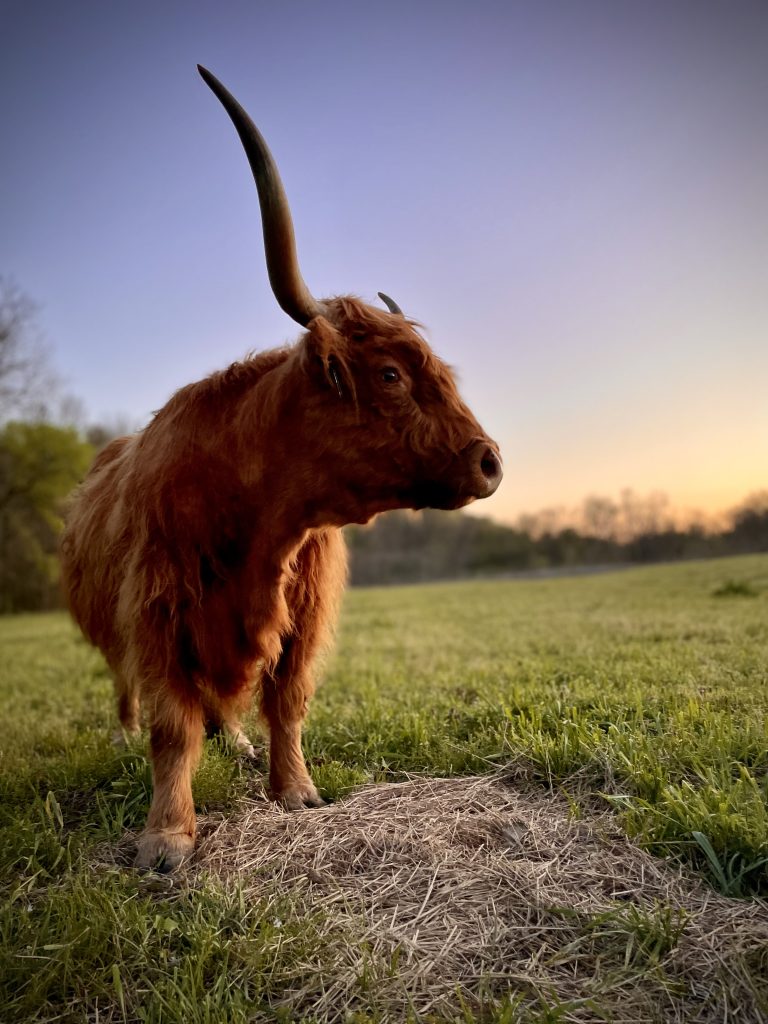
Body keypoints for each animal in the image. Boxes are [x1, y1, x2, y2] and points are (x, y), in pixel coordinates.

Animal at [60, 66, 502, 872]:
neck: (261, 526)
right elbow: (172, 726)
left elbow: (287, 704)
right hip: (113, 629)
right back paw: (126, 734)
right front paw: (167, 836)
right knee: (129, 689)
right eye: (390, 375)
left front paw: (294, 791)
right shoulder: (157, 611)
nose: (490, 460)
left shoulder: (307, 609)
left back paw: (234, 742)